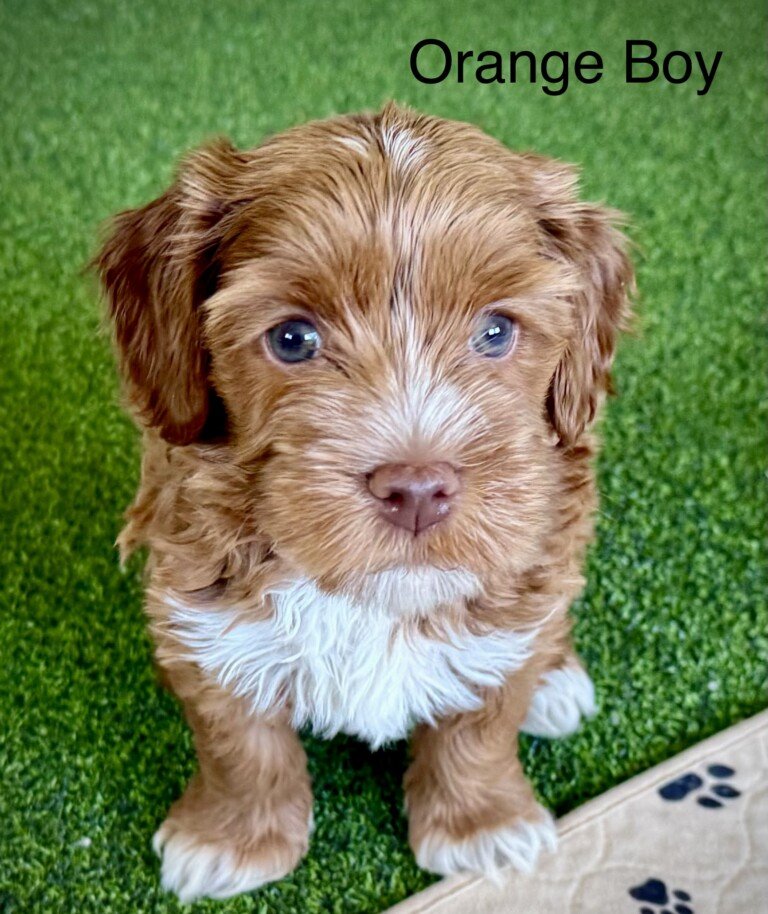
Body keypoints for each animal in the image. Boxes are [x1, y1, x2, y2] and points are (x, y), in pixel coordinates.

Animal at [95, 102, 633, 902]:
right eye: (293, 338)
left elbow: (482, 722)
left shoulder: (516, 589)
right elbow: (239, 742)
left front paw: (481, 828)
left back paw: (555, 680)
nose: (416, 490)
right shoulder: (200, 611)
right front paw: (231, 840)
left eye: (496, 331)